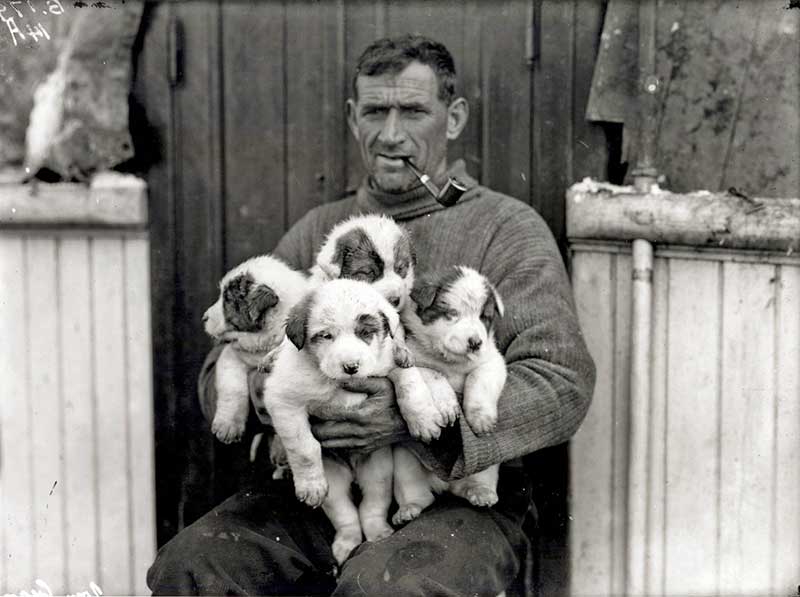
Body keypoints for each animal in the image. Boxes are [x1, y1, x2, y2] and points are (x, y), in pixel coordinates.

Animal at [262, 278, 412, 560]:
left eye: (365, 333)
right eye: (326, 336)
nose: (351, 367)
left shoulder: (387, 364)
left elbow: (409, 381)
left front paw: (425, 417)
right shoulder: (284, 400)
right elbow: (304, 448)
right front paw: (310, 486)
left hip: (378, 471)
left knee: (372, 506)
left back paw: (378, 533)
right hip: (335, 480)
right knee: (346, 515)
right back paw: (346, 544)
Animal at [392, 264, 506, 520]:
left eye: (484, 317)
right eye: (452, 314)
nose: (475, 342)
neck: (451, 361)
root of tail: (445, 484)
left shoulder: (492, 361)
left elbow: (478, 379)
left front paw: (480, 418)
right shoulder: (417, 361)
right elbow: (436, 376)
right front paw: (447, 408)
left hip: (485, 465)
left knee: (475, 479)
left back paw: (480, 492)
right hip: (404, 462)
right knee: (416, 491)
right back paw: (409, 508)